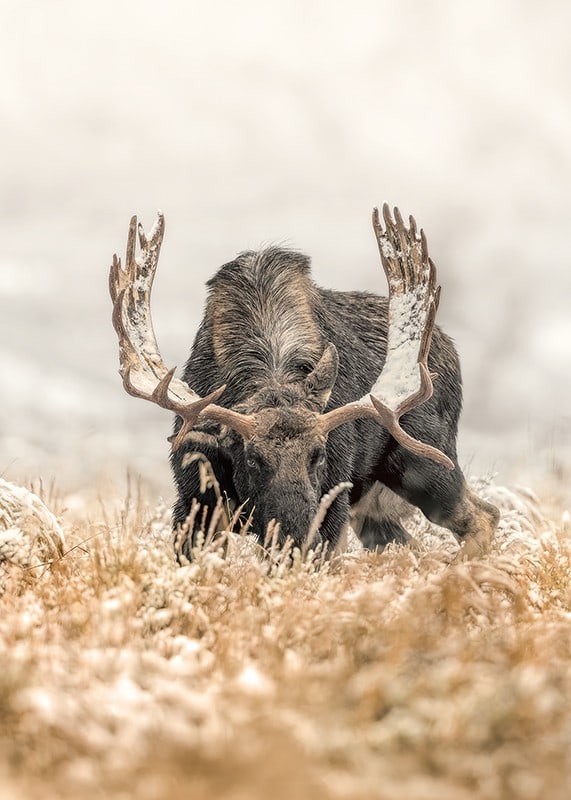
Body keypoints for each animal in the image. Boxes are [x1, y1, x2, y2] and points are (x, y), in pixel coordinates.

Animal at [109, 205, 499, 562]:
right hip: (376, 507)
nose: (296, 533)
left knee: (484, 515)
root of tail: (449, 349)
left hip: (426, 464)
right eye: (252, 459)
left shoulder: (334, 502)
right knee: (412, 546)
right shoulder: (196, 500)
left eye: (319, 455)